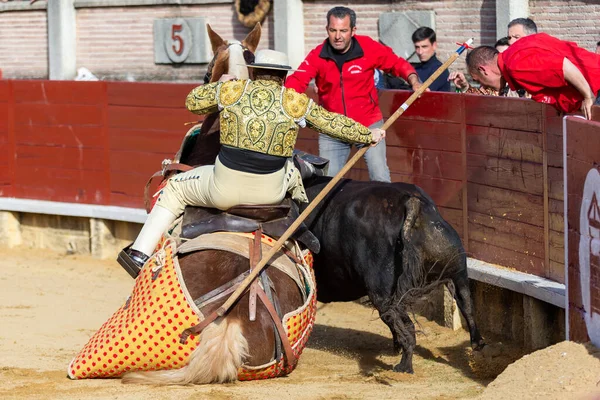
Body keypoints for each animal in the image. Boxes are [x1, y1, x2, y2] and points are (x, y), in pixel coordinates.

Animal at [302, 177, 486, 374]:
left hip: (383, 295)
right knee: (466, 302)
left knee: (405, 326)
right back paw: (477, 344)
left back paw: (403, 366)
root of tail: (413, 202)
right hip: (457, 269)